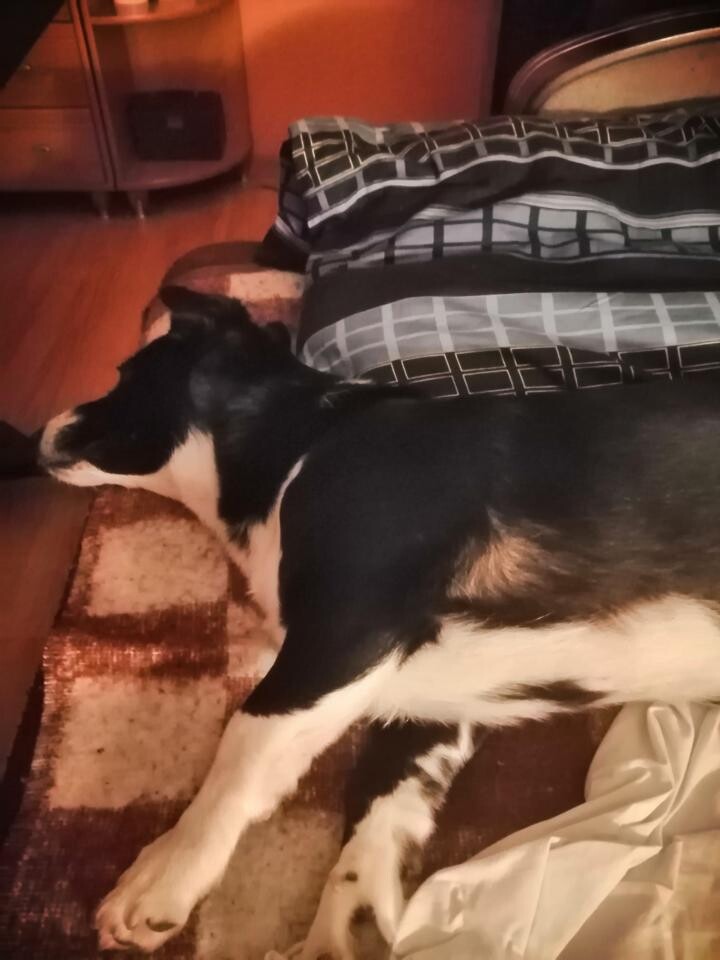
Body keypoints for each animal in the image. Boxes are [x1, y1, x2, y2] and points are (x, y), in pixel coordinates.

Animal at [39, 285, 720, 959]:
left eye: (125, 374)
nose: (36, 433)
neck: (302, 441)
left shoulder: (347, 627)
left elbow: (244, 746)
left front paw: (163, 875)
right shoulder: (434, 707)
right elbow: (376, 820)